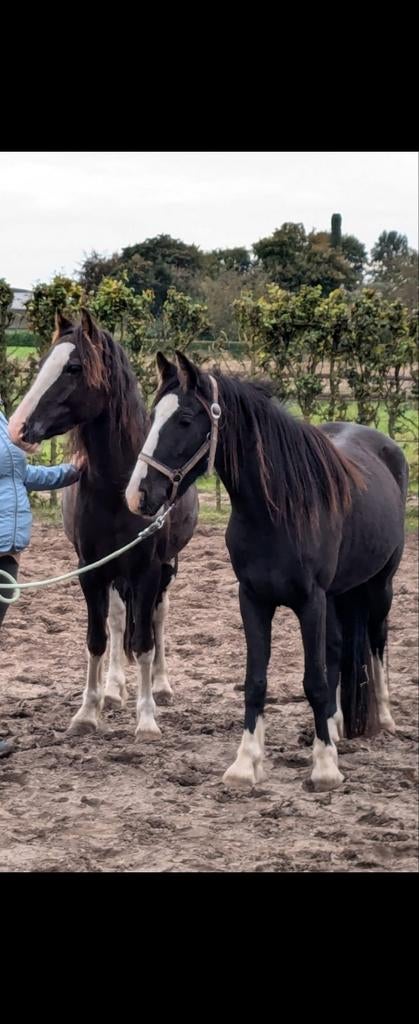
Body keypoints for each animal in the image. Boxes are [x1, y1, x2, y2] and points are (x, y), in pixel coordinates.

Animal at [8, 312, 198, 740]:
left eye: (74, 367)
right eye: (43, 362)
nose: (16, 428)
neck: (117, 487)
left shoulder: (147, 569)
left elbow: (143, 641)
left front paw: (146, 719)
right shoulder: (90, 569)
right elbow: (97, 637)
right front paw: (88, 711)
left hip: (165, 569)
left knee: (158, 617)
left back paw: (161, 686)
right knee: (116, 619)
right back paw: (113, 690)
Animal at [125, 350, 408, 792]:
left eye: (185, 419)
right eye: (154, 415)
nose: (138, 495)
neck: (277, 510)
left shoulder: (310, 601)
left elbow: (313, 680)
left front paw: (324, 768)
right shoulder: (253, 598)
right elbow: (257, 681)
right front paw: (246, 763)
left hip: (380, 587)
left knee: (377, 642)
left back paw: (384, 719)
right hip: (338, 595)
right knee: (338, 649)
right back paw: (335, 725)